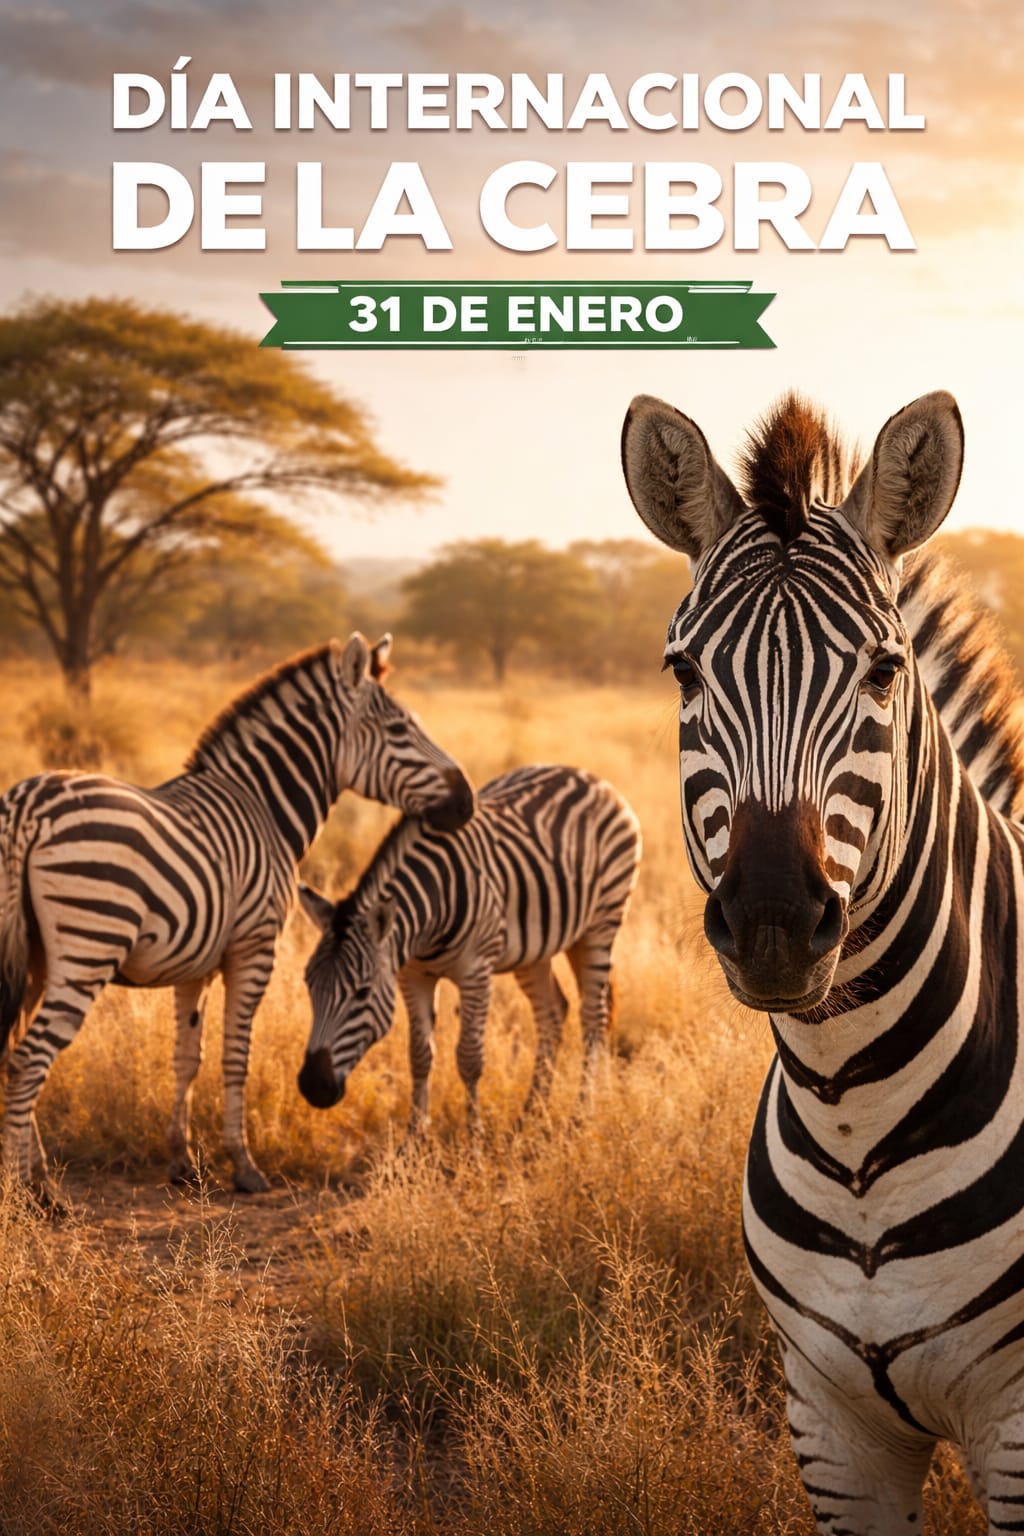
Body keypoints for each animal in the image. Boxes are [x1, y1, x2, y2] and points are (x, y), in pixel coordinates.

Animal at [0, 633, 474, 1199]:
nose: (467, 802)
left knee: (14, 1053)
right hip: (88, 945)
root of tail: (30, 804)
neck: (264, 808)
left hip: (33, 955)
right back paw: (32, 1192)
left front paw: (181, 1161)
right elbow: (235, 1055)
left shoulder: (195, 964)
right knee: (27, 1058)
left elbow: (187, 1056)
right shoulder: (254, 948)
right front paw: (244, 1166)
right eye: (400, 728)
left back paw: (37, 1176)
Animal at [296, 764, 641, 1128]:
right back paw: (532, 1112)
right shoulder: (412, 975)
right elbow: (419, 1055)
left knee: (594, 1017)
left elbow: (469, 1058)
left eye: (362, 993)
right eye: (309, 986)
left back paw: (581, 1113)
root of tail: (591, 777)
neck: (427, 918)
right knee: (553, 1011)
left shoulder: (476, 972)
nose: (312, 1088)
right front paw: (414, 1135)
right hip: (535, 948)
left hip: (602, 922)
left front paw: (474, 1134)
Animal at [621, 387, 1024, 1533]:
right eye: (683, 670)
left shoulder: (1017, 1430)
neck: (856, 1113)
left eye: (884, 670)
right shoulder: (831, 1423)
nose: (769, 922)